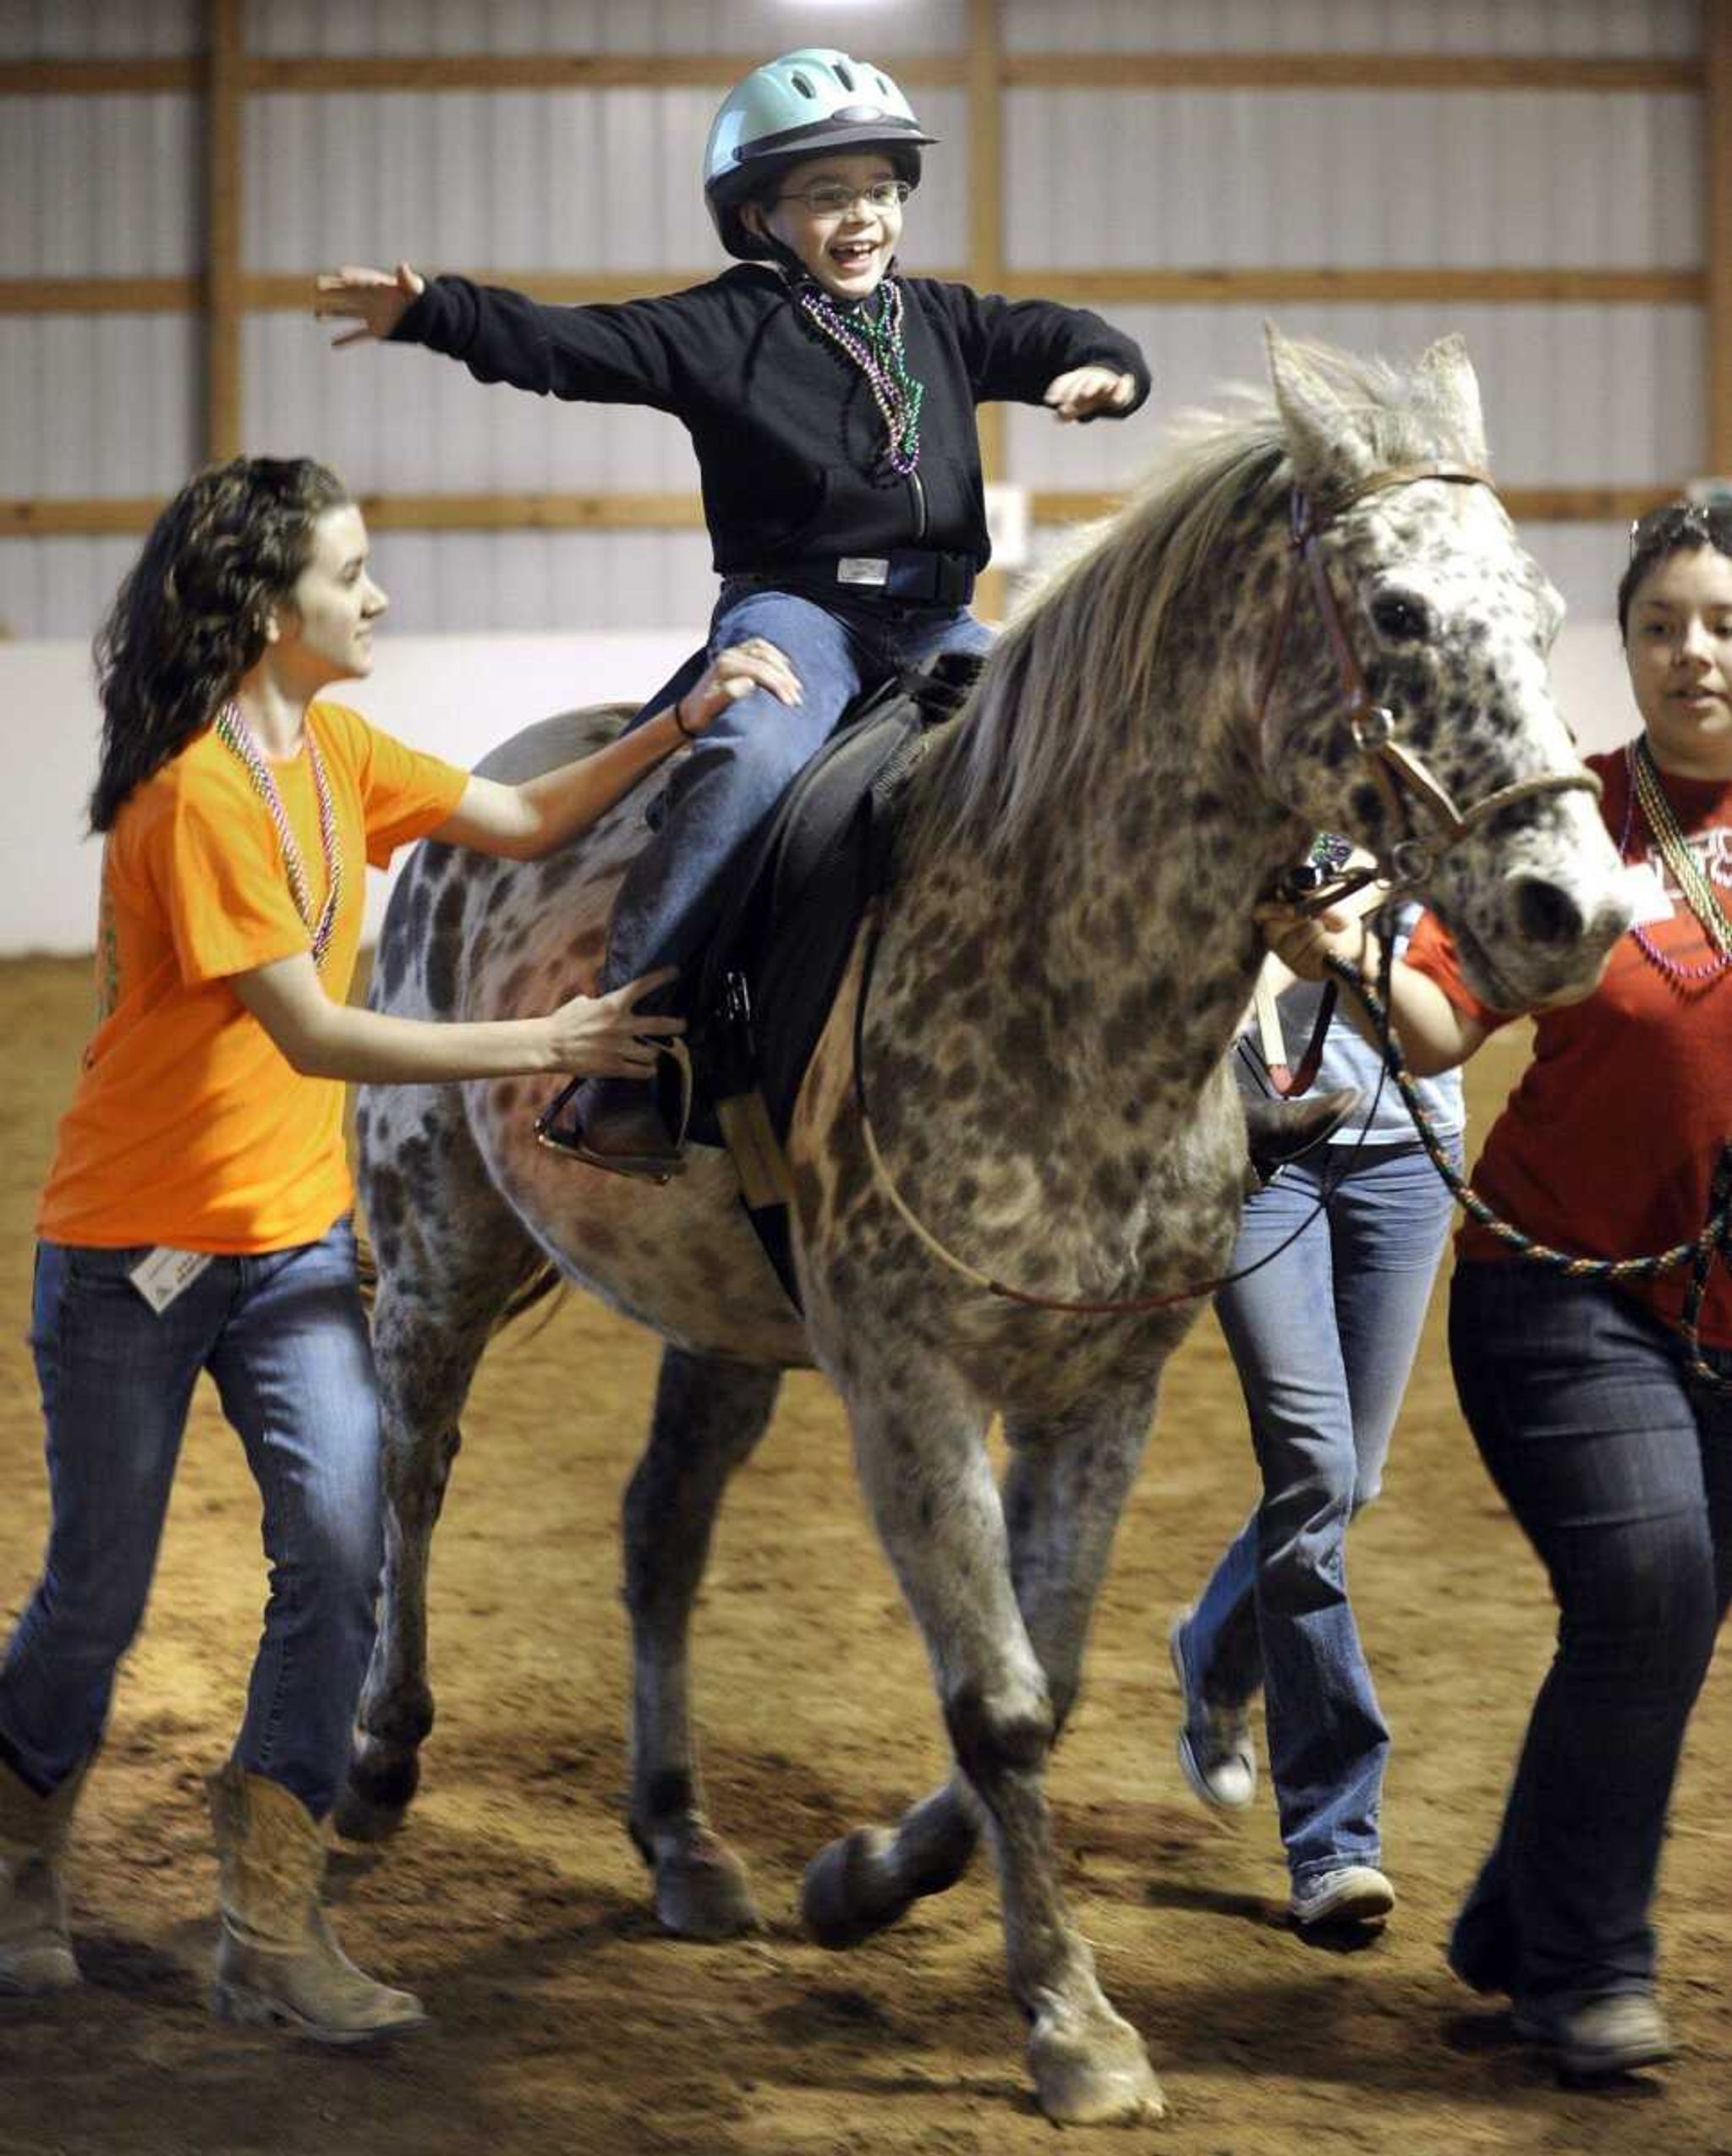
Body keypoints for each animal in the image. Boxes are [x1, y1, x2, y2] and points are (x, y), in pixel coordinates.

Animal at [349, 336, 1621, 2121]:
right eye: (1393, 611)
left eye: (1548, 606)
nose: (1572, 908)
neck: (1054, 974)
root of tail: (487, 800)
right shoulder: (911, 1390)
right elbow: (1000, 1694)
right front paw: (1072, 2022)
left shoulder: (1100, 1392)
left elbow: (1050, 1672)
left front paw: (864, 1877)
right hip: (439, 1240)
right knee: (411, 1469)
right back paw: (377, 1756)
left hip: (717, 1322)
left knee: (660, 1530)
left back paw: (682, 1840)